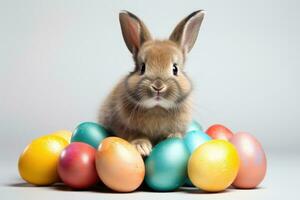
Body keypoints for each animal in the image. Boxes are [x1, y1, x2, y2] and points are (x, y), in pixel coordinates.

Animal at [99, 9, 205, 156]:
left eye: (175, 69)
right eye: (142, 68)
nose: (158, 87)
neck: (157, 108)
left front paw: (173, 138)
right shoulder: (122, 126)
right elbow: (135, 135)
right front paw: (142, 147)